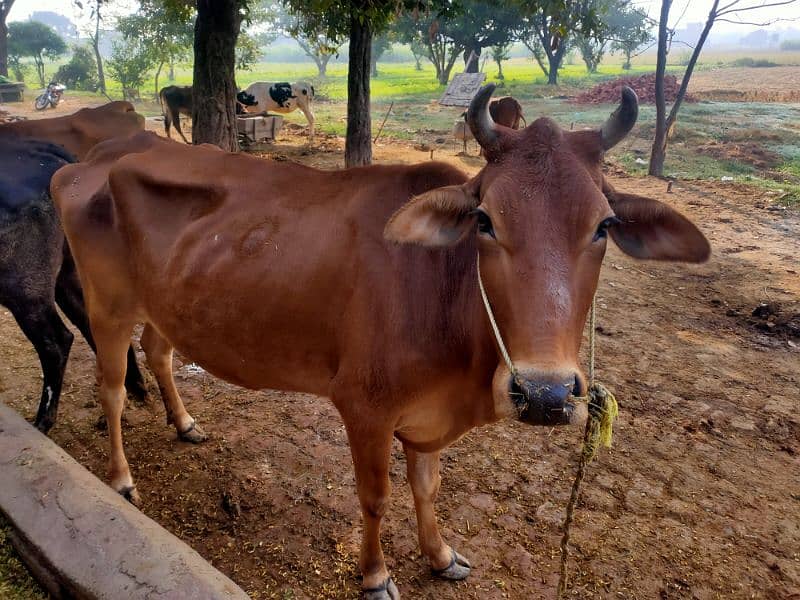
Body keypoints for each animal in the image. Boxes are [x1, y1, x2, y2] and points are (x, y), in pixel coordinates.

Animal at [53, 85, 708, 600]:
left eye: (603, 225)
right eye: (485, 220)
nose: (545, 393)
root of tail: (95, 159)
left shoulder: (424, 417)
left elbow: (427, 486)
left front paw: (440, 557)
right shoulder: (364, 407)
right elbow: (375, 496)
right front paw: (375, 576)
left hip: (164, 307)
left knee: (159, 353)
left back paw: (185, 422)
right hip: (107, 306)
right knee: (111, 388)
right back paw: (120, 479)